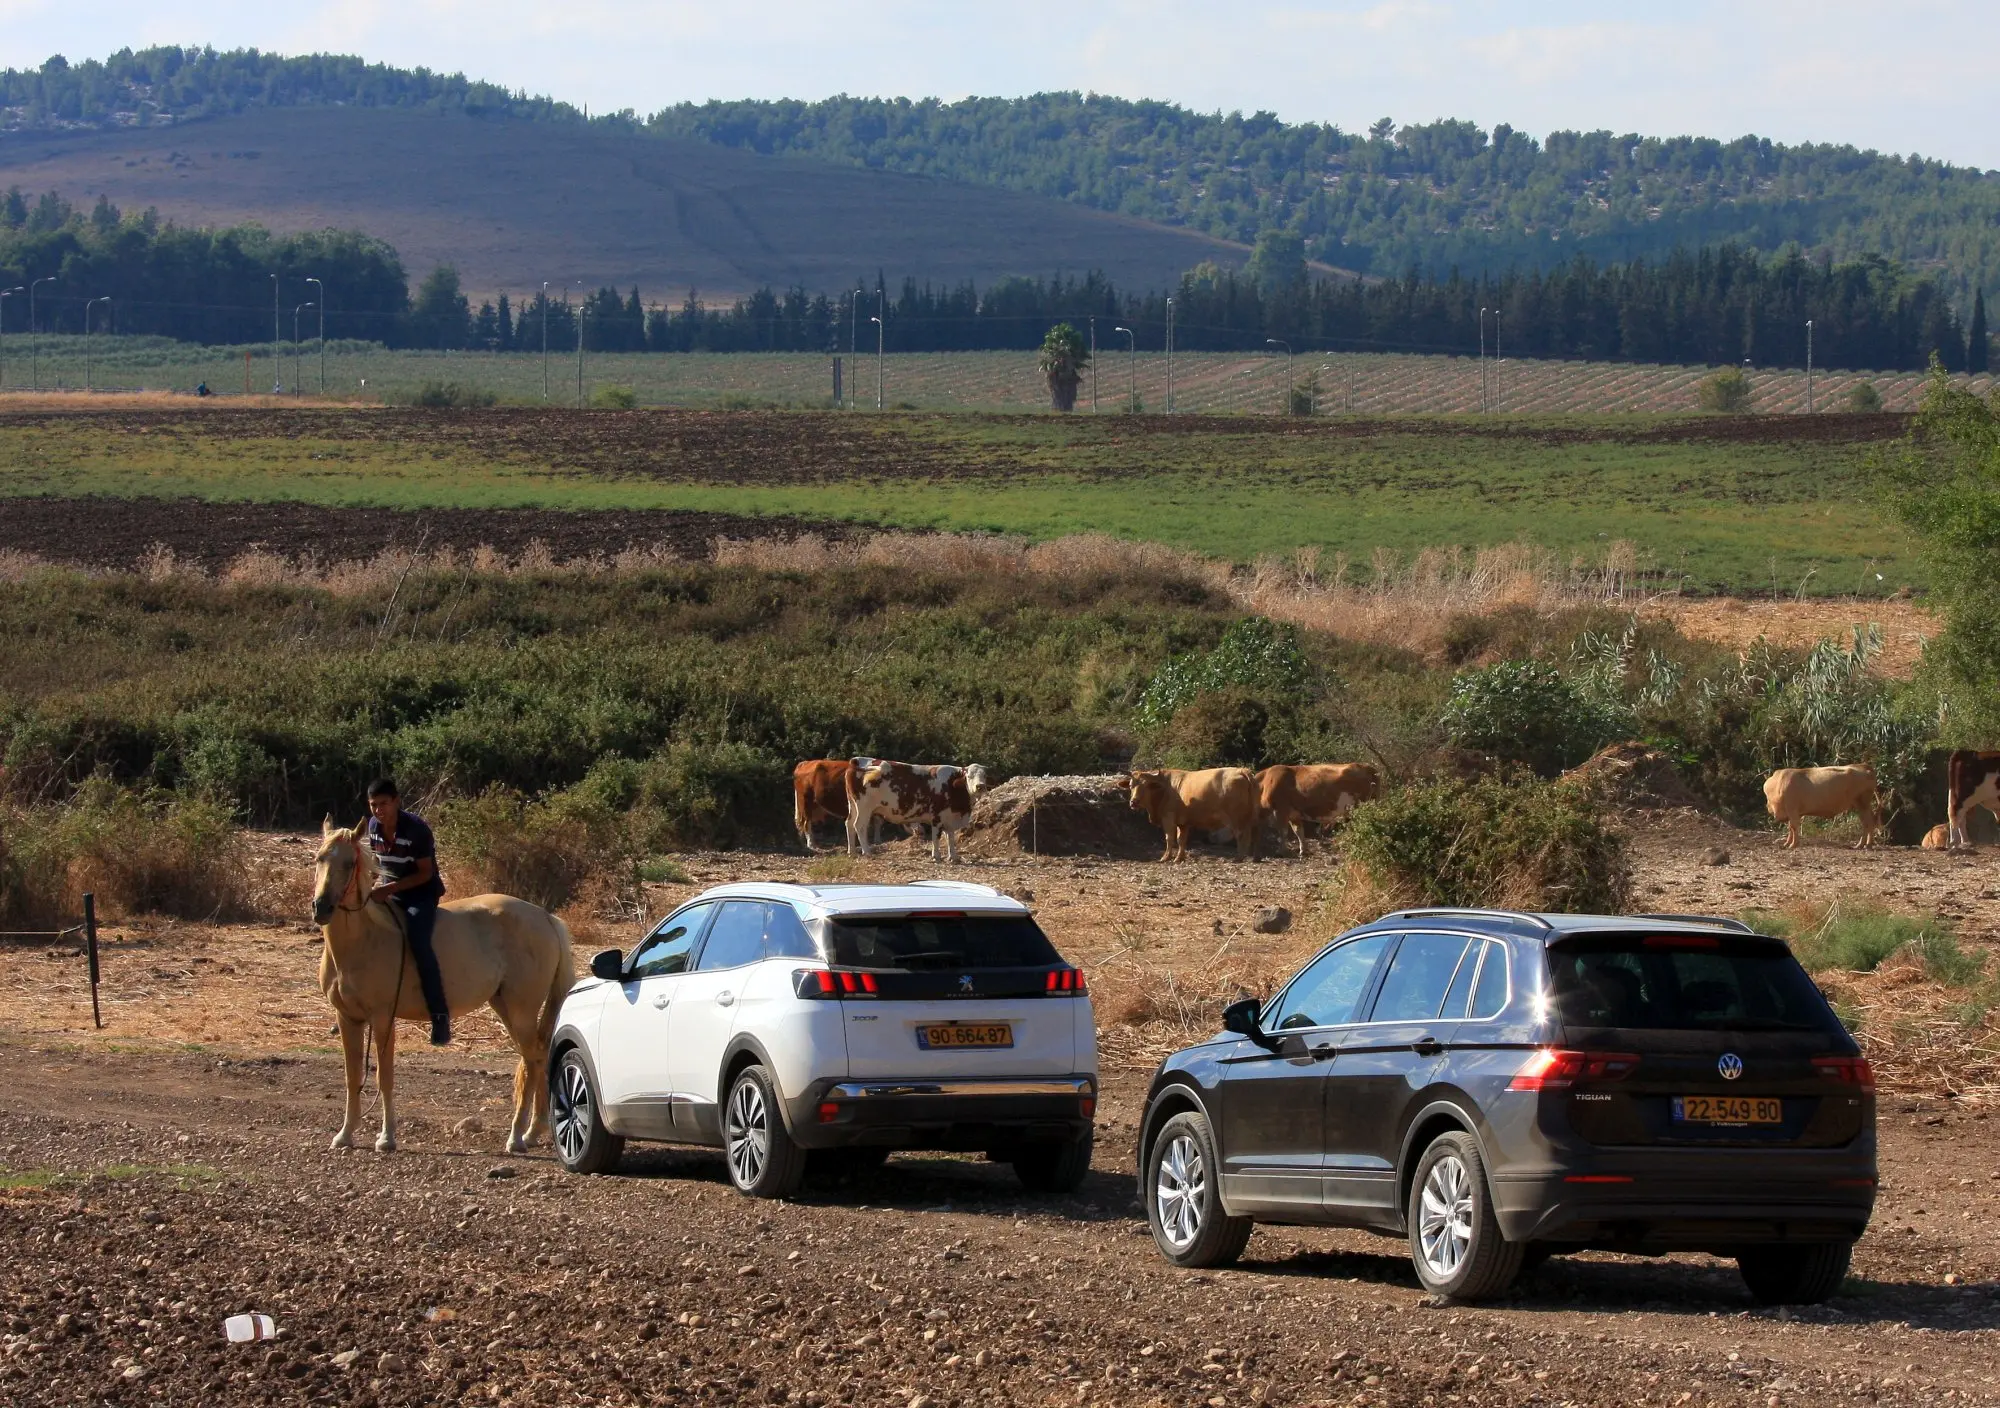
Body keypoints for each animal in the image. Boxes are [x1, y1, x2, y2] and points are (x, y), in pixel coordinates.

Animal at [312, 816, 576, 1152]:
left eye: (349, 863)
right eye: (319, 859)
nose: (321, 908)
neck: (362, 940)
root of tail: (545, 918)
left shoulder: (382, 1018)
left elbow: (384, 1076)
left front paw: (386, 1138)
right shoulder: (348, 1018)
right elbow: (351, 1076)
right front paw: (345, 1135)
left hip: (522, 1011)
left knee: (532, 1059)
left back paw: (516, 1136)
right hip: (504, 1006)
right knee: (537, 1057)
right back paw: (533, 1131)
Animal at [852, 760, 992, 856]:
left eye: (985, 776)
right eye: (969, 777)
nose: (980, 786)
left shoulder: (950, 818)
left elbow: (950, 837)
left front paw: (953, 856)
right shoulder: (937, 816)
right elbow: (936, 836)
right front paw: (936, 856)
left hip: (855, 807)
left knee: (850, 825)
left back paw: (852, 851)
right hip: (864, 808)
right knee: (860, 826)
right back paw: (866, 851)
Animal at [1120, 764, 1256, 864]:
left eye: (1147, 786)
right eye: (1131, 785)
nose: (1134, 802)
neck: (1165, 789)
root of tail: (1241, 770)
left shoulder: (1168, 818)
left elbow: (1169, 838)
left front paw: (1165, 857)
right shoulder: (1183, 823)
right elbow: (1181, 840)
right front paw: (1179, 858)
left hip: (1235, 818)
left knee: (1240, 835)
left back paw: (1239, 858)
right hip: (1247, 817)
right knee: (1248, 836)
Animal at [1256, 764, 1384, 852]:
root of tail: (1369, 767)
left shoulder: (1280, 810)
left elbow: (1283, 831)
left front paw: (1282, 850)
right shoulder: (1294, 814)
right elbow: (1298, 831)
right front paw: (1303, 849)